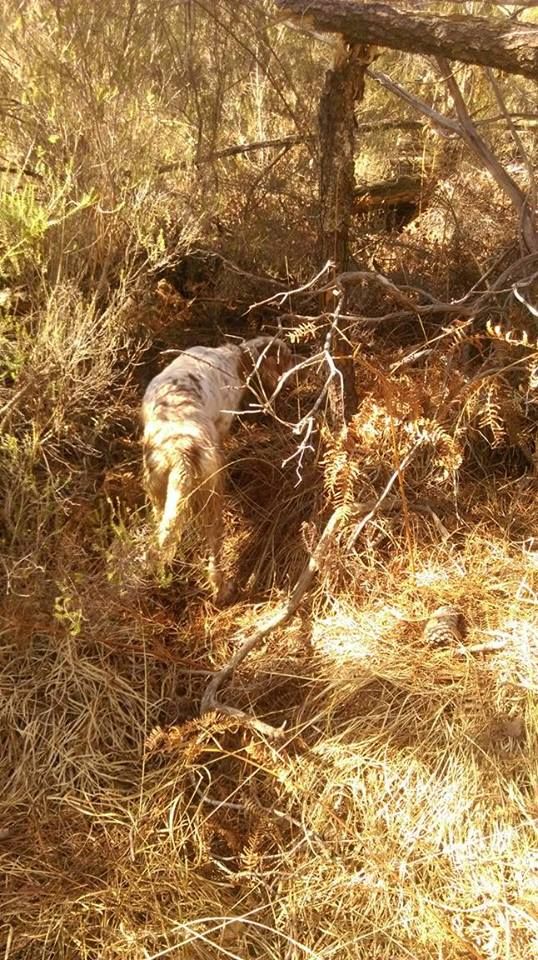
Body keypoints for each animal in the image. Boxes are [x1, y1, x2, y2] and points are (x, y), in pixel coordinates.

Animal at [141, 336, 294, 600]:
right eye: (286, 356)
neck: (234, 357)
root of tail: (182, 451)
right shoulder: (223, 423)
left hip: (158, 489)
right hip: (213, 496)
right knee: (214, 549)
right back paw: (222, 589)